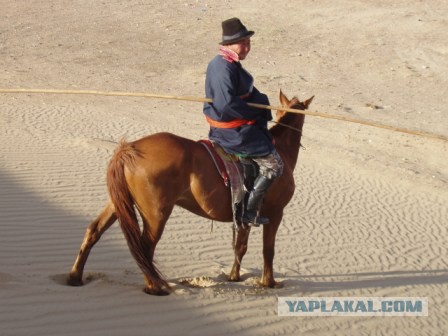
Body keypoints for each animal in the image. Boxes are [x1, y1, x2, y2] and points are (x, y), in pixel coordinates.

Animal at [68, 90, 314, 296]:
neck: (279, 150)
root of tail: (130, 149)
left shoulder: (244, 215)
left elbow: (240, 246)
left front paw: (234, 276)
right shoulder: (275, 214)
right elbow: (268, 250)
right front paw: (268, 282)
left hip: (117, 203)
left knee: (94, 231)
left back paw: (75, 276)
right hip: (156, 214)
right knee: (145, 247)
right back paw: (154, 287)